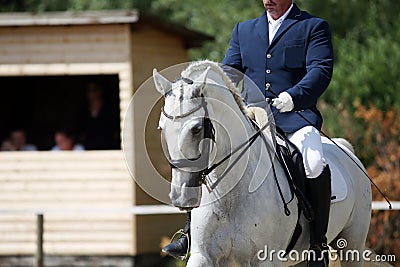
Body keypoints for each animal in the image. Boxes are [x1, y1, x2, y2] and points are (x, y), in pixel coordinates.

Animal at [153, 61, 372, 267]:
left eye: (197, 128)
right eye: (161, 128)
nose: (180, 196)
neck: (231, 192)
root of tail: (346, 150)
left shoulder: (266, 259)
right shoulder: (203, 257)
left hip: (352, 246)